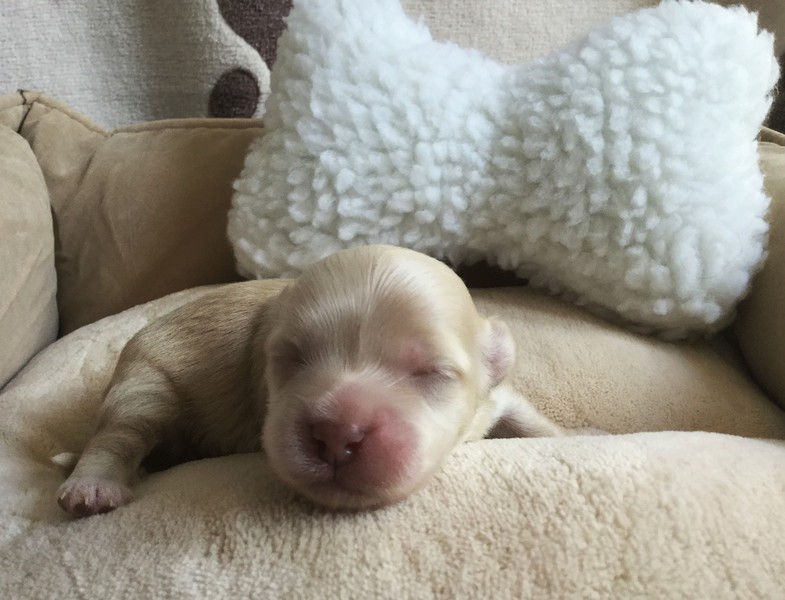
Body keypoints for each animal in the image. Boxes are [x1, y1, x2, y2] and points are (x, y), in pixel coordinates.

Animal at [57, 245, 572, 518]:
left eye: (433, 372)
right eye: (292, 357)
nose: (336, 434)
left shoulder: (495, 398)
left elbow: (528, 418)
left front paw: (573, 435)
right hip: (144, 384)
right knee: (117, 436)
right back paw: (91, 488)